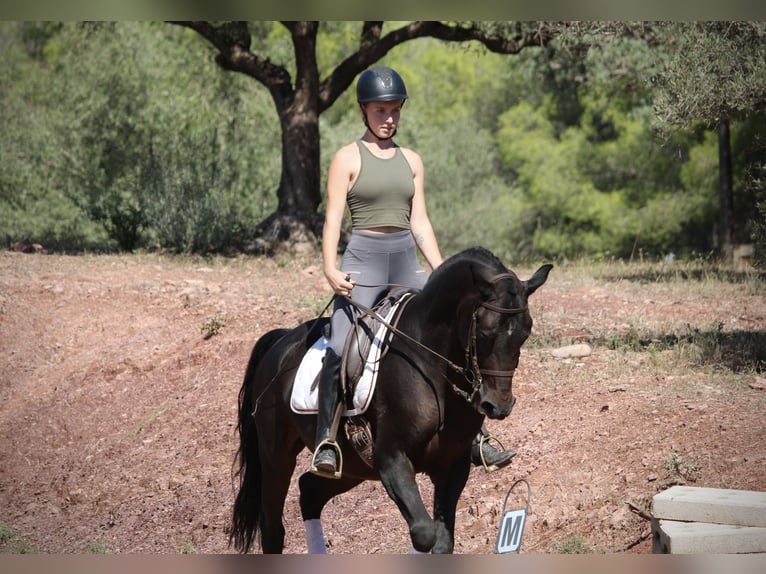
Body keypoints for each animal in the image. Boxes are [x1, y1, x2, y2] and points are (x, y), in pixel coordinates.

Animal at [229, 246, 552, 553]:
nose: (498, 405)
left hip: (352, 467)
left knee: (309, 492)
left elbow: (441, 542)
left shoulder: (453, 465)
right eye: (485, 332)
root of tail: (283, 340)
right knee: (273, 528)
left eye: (526, 332)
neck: (431, 365)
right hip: (276, 457)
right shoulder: (391, 459)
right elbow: (424, 533)